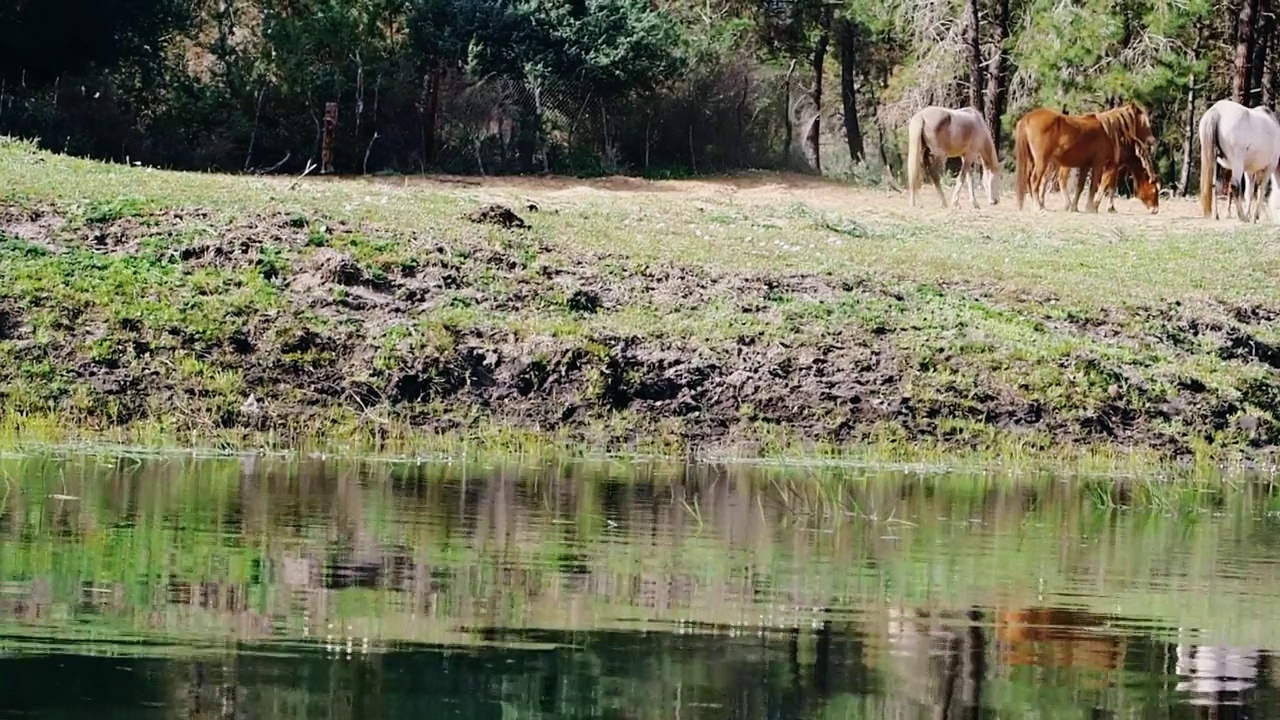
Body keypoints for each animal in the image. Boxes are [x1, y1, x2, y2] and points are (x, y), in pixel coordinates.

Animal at [1018, 102, 1162, 211]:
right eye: (1155, 191)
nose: (1155, 210)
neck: (1112, 133)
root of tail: (1027, 118)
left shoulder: (1086, 165)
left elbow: (1081, 186)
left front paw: (1076, 207)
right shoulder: (1104, 164)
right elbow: (1101, 185)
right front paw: (1093, 207)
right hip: (1043, 162)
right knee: (1036, 180)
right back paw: (1038, 206)